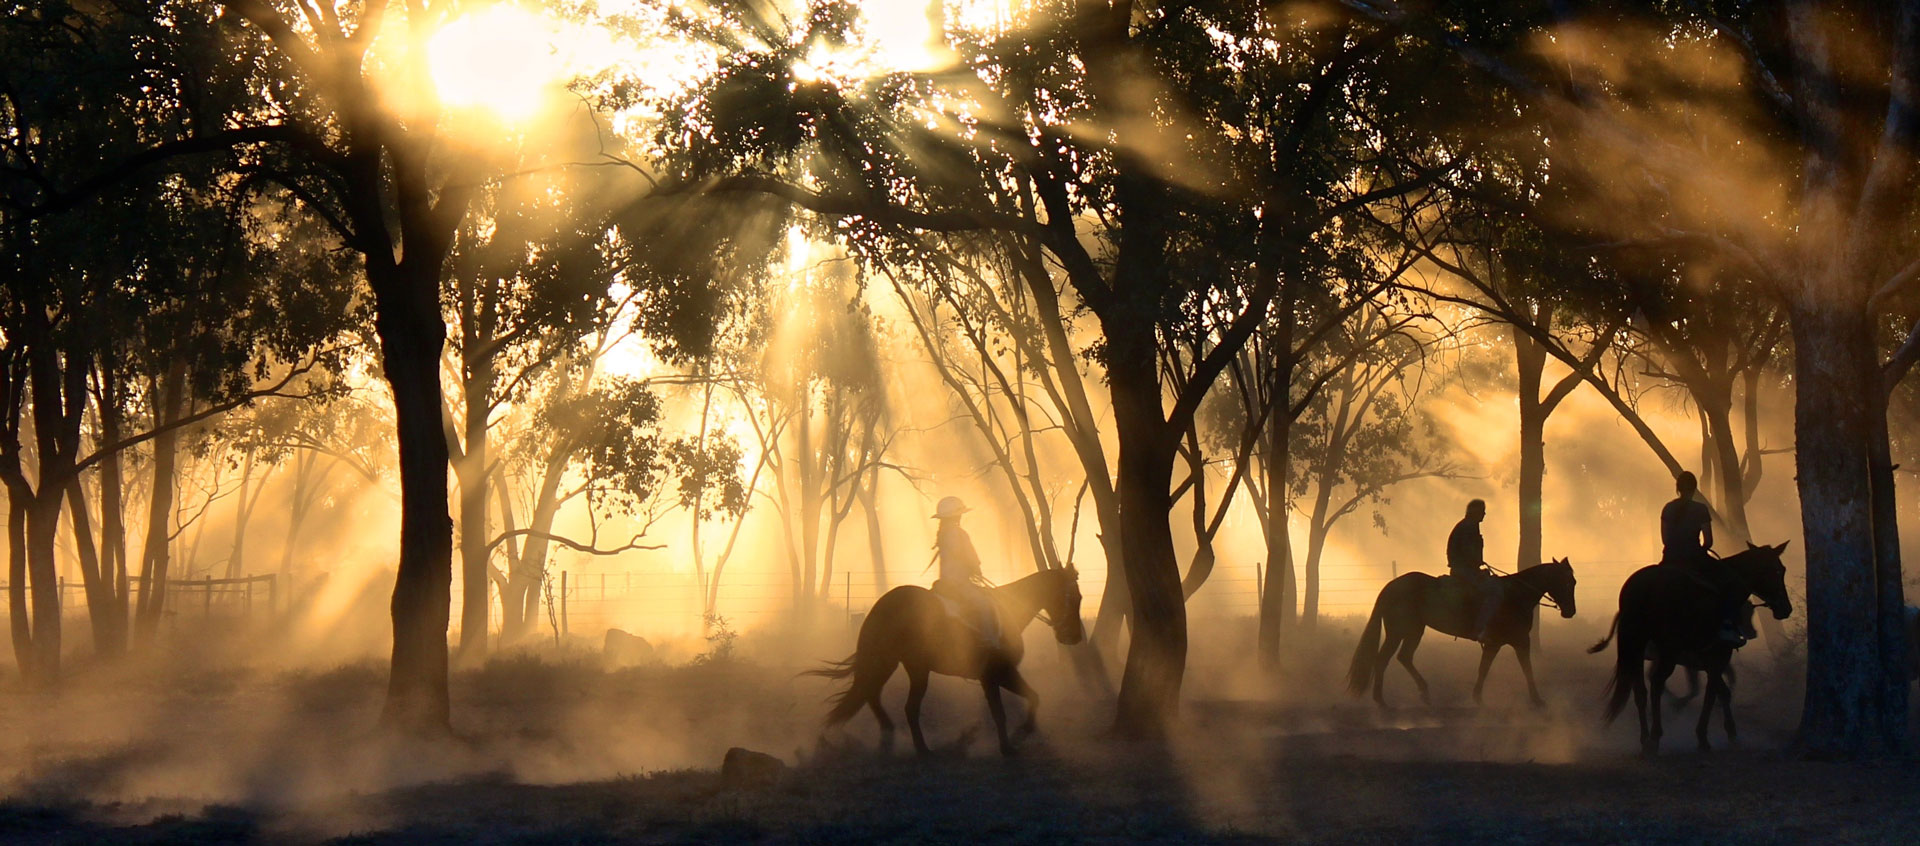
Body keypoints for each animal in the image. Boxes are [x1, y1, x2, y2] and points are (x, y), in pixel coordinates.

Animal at [806, 564, 1082, 755]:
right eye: (1076, 598)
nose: (1074, 637)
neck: (1007, 610)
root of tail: (882, 606)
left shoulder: (995, 677)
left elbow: (1031, 698)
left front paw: (1022, 732)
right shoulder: (997, 675)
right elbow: (1002, 711)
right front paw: (1010, 745)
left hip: (891, 663)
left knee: (872, 695)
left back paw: (890, 735)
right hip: (912, 669)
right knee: (907, 706)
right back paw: (922, 749)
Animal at [1344, 556, 1582, 709]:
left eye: (1574, 581)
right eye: (1566, 582)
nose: (1570, 611)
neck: (1516, 594)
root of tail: (1391, 586)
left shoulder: (1497, 643)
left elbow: (1484, 669)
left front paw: (1477, 698)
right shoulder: (1519, 641)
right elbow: (1526, 669)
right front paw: (1537, 700)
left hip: (1414, 631)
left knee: (1404, 657)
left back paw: (1423, 693)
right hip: (1399, 632)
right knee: (1383, 659)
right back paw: (1381, 700)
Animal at [1582, 544, 1789, 755]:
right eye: (1778, 570)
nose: (1786, 609)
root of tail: (1643, 586)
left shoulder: (1706, 660)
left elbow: (1719, 691)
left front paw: (1726, 733)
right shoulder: (1718, 656)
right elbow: (1712, 693)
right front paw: (1708, 736)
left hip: (1637, 648)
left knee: (1640, 690)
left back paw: (1645, 738)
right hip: (1668, 651)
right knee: (1657, 682)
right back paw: (1655, 737)